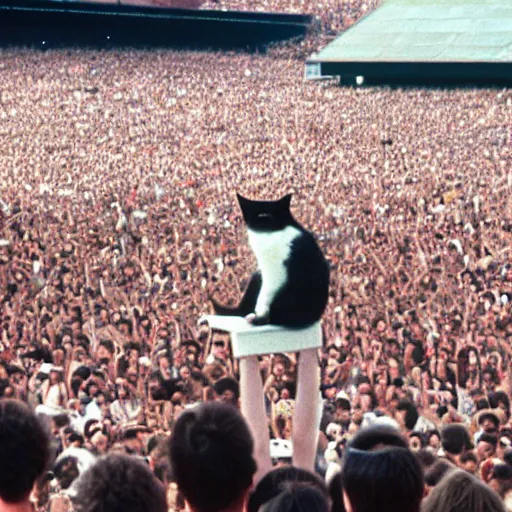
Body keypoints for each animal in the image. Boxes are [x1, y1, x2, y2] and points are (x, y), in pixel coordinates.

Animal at [210, 192, 330, 328]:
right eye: (258, 214)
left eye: (271, 214)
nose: (264, 218)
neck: (268, 235)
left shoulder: (276, 273)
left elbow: (264, 296)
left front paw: (259, 316)